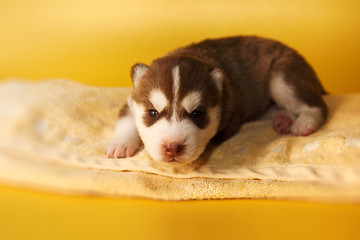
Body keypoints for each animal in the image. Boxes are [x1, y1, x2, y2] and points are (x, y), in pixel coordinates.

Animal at [105, 35, 328, 165]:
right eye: (153, 113)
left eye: (197, 114)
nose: (172, 147)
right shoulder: (131, 100)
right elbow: (126, 121)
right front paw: (119, 144)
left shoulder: (231, 118)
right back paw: (283, 120)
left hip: (282, 75)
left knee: (316, 106)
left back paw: (303, 123)